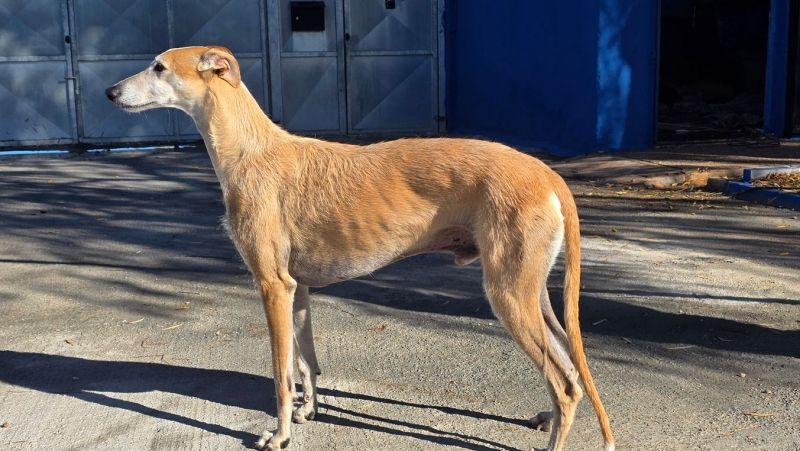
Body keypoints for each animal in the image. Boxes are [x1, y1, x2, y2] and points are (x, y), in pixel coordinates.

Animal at [106, 46, 615, 451]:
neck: (253, 150)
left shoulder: (272, 286)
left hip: (509, 295)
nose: (110, 92)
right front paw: (308, 411)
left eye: (158, 66)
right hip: (533, 293)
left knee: (565, 383)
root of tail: (545, 173)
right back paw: (547, 417)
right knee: (569, 367)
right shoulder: (297, 290)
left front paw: (280, 435)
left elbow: (280, 376)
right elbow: (306, 363)